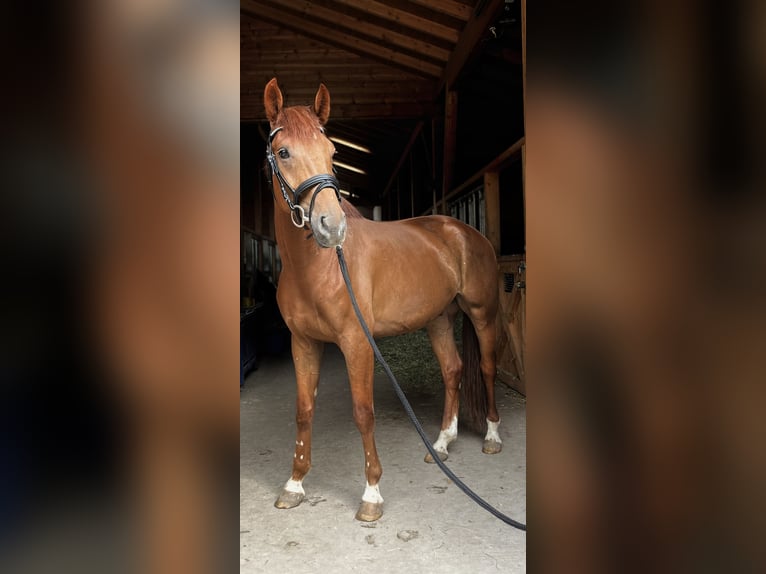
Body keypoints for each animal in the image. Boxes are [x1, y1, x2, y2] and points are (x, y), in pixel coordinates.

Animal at [264, 79, 504, 524]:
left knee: (486, 367)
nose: (331, 226)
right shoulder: (303, 343)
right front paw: (294, 484)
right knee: (453, 370)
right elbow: (304, 410)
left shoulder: (357, 344)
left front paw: (372, 494)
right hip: (438, 319)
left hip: (482, 314)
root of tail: (465, 231)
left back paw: (493, 436)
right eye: (284, 152)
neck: (319, 267)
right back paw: (442, 443)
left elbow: (364, 412)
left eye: (332, 152)